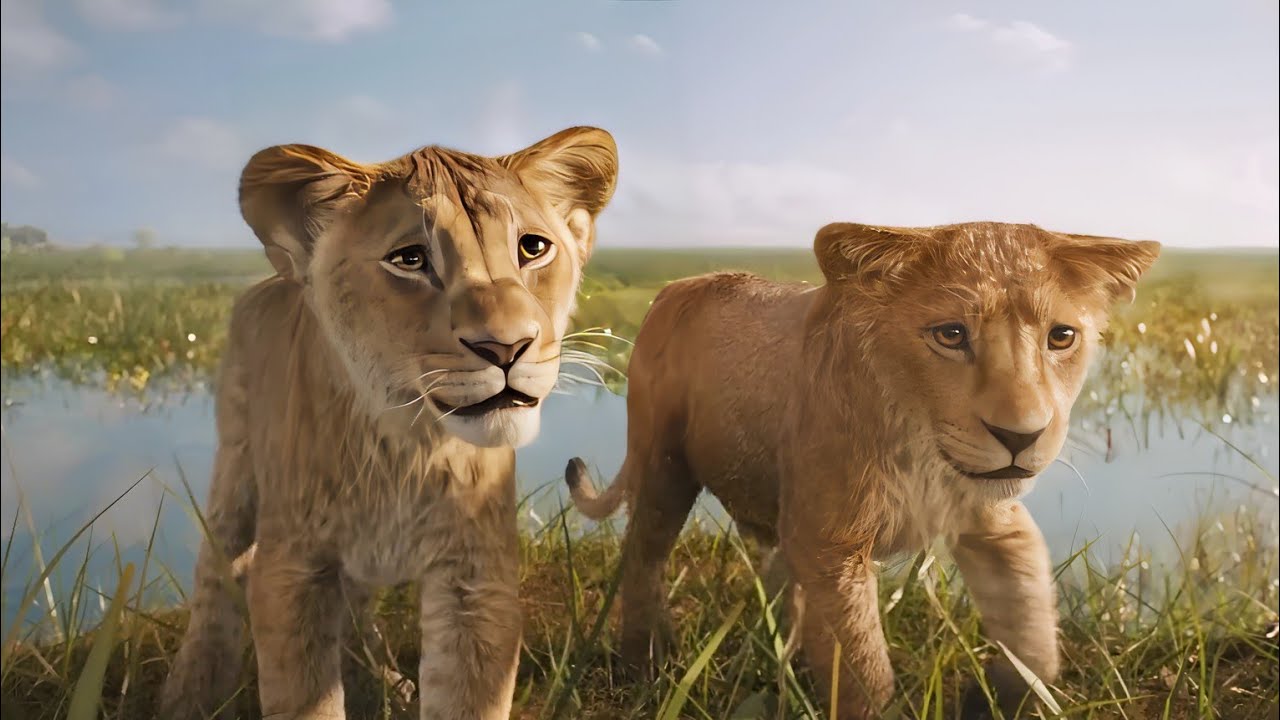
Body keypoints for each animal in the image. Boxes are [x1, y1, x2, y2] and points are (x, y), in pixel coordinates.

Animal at [159, 126, 619, 720]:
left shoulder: (476, 581)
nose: (507, 347)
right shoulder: (292, 572)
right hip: (235, 468)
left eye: (532, 248)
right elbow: (303, 696)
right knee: (217, 575)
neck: (406, 444)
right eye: (410, 258)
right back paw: (187, 694)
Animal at [565, 221, 1160, 719]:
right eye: (950, 335)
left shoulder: (995, 524)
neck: (920, 450)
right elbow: (864, 671)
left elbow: (1034, 632)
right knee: (644, 556)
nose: (1021, 436)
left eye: (1062, 337)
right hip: (663, 463)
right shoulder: (831, 546)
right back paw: (646, 663)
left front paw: (999, 698)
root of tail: (674, 287)